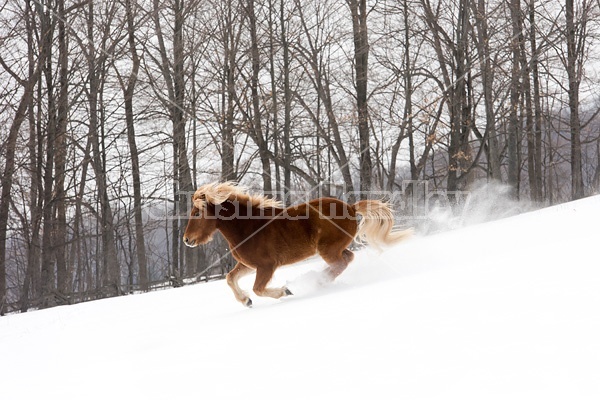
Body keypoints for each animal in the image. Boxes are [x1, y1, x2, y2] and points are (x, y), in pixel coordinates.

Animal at [180, 183, 410, 308]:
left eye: (197, 213)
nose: (187, 240)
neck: (248, 227)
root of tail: (352, 208)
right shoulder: (248, 265)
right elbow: (230, 278)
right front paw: (246, 301)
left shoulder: (266, 266)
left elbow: (258, 288)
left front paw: (285, 291)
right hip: (335, 248)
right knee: (347, 259)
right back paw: (319, 281)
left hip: (327, 250)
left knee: (341, 263)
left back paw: (314, 281)